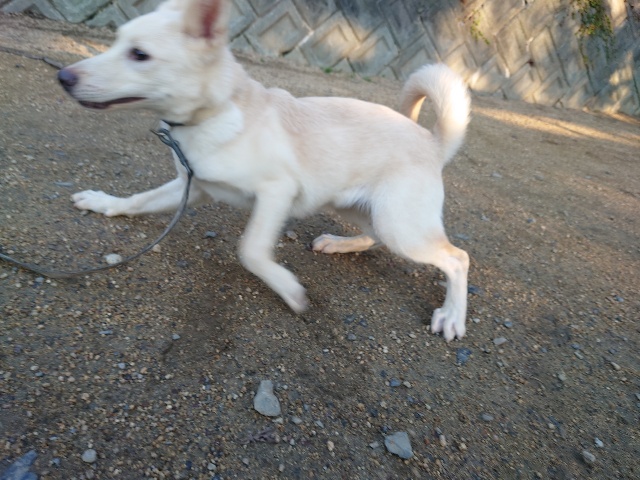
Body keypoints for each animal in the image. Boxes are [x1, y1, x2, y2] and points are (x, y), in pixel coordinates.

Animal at [57, 0, 471, 341]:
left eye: (139, 54)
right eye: (116, 41)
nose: (63, 77)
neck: (214, 113)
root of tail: (431, 140)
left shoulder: (277, 192)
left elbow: (251, 250)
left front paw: (288, 289)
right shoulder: (189, 185)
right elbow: (136, 201)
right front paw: (103, 202)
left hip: (400, 225)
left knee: (457, 258)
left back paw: (452, 316)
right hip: (360, 209)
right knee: (374, 238)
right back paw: (339, 243)